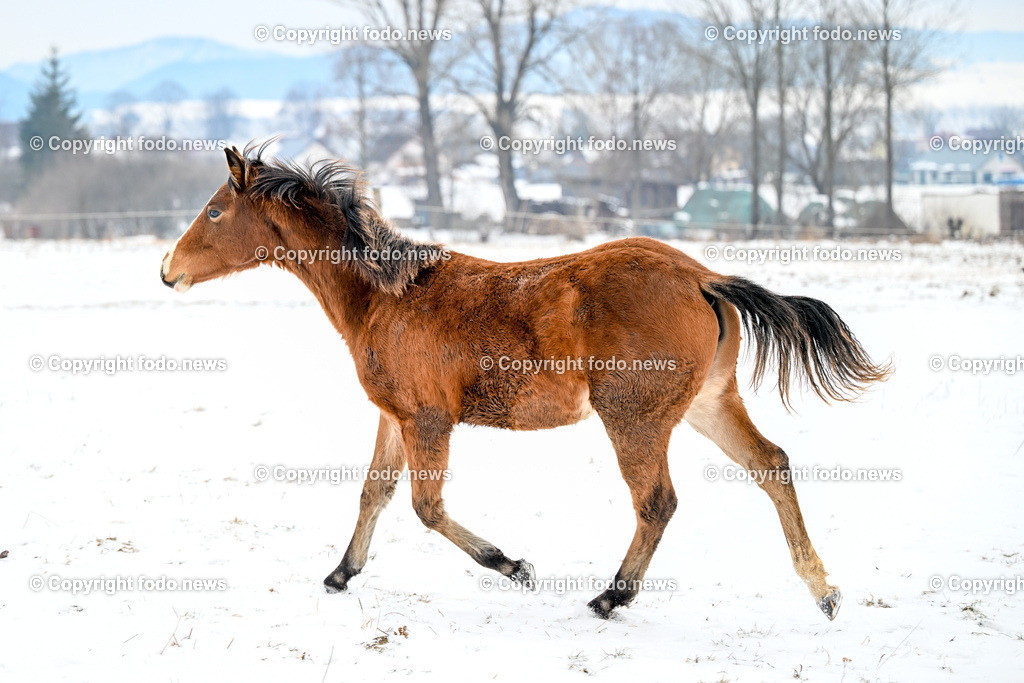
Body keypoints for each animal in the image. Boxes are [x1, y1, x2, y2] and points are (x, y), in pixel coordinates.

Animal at [160, 144, 891, 621]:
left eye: (215, 211)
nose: (168, 270)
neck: (386, 295)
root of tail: (703, 277)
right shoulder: (393, 414)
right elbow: (375, 492)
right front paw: (340, 573)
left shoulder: (427, 417)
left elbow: (426, 507)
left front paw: (514, 565)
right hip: (708, 403)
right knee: (772, 464)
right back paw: (823, 590)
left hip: (634, 416)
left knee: (658, 502)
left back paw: (610, 596)